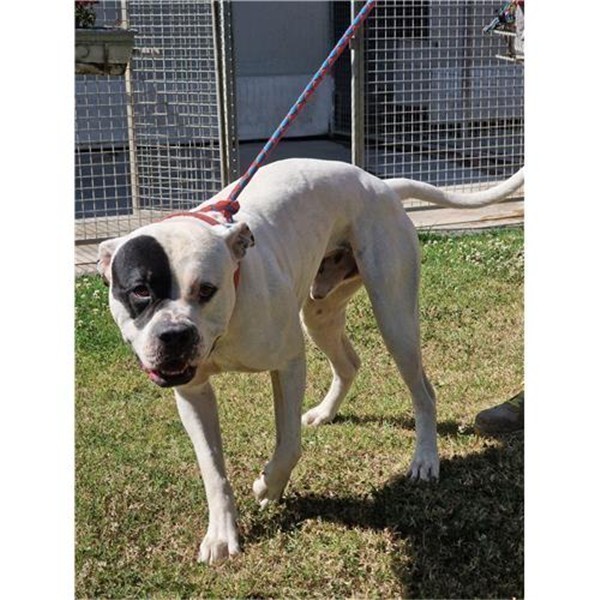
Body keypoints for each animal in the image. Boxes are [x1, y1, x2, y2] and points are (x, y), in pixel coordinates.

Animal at [97, 158, 524, 564]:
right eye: (139, 291)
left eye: (206, 290)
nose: (175, 335)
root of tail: (380, 185)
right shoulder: (193, 393)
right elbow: (213, 469)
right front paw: (221, 534)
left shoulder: (288, 363)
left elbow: (288, 446)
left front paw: (269, 486)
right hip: (320, 313)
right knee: (349, 363)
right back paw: (325, 413)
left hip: (394, 315)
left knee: (423, 391)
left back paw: (425, 459)